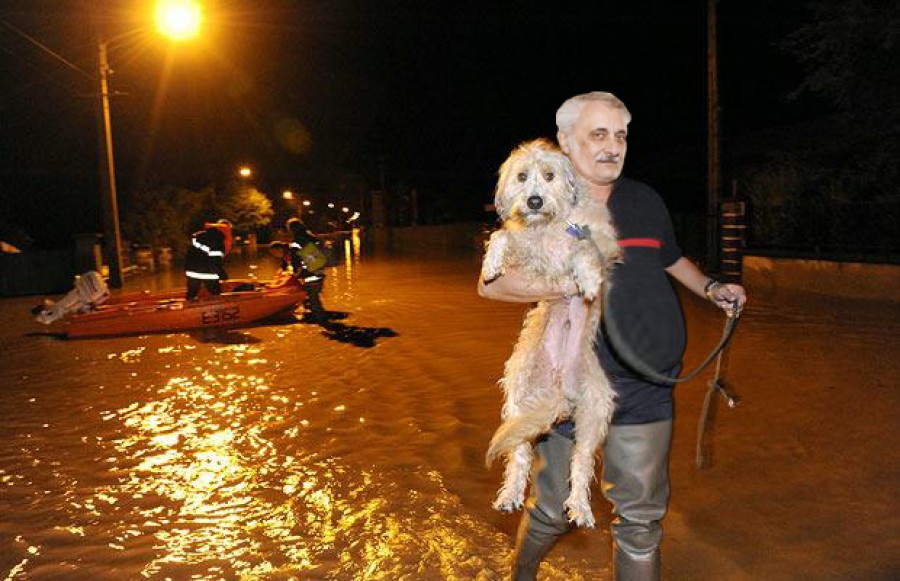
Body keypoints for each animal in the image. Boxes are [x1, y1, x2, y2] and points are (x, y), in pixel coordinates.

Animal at [486, 139, 620, 524]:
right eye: (521, 176)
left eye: (549, 175)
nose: (534, 201)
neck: (549, 224)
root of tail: (560, 390)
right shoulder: (530, 258)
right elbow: (502, 235)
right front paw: (490, 264)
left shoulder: (598, 241)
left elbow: (583, 248)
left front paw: (587, 279)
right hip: (518, 395)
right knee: (519, 453)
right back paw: (510, 495)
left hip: (595, 411)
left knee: (582, 462)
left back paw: (580, 506)